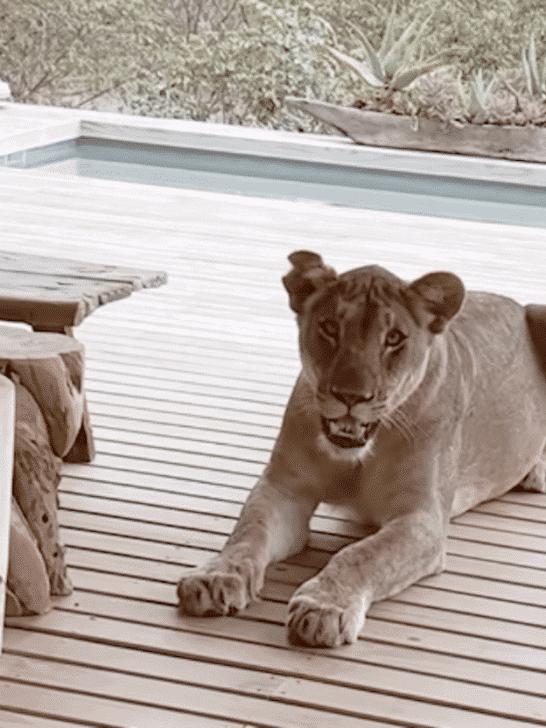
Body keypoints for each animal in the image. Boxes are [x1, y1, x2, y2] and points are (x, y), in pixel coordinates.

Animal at [178, 250, 546, 647]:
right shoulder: (283, 489)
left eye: (394, 338)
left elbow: (363, 554)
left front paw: (324, 607)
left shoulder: (423, 518)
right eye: (329, 328)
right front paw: (215, 577)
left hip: (539, 311)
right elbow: (248, 533)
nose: (350, 396)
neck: (358, 456)